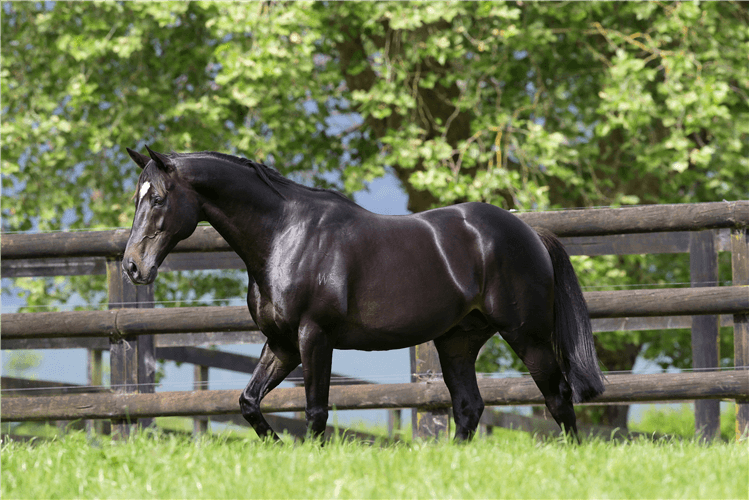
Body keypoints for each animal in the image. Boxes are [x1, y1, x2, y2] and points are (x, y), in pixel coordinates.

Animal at [121, 146, 600, 442]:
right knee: (469, 408)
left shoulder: (314, 336)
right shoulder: (281, 344)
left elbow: (316, 411)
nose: (132, 266)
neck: (284, 237)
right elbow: (249, 403)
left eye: (158, 198)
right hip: (458, 341)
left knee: (558, 398)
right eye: (136, 198)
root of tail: (530, 233)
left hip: (526, 335)